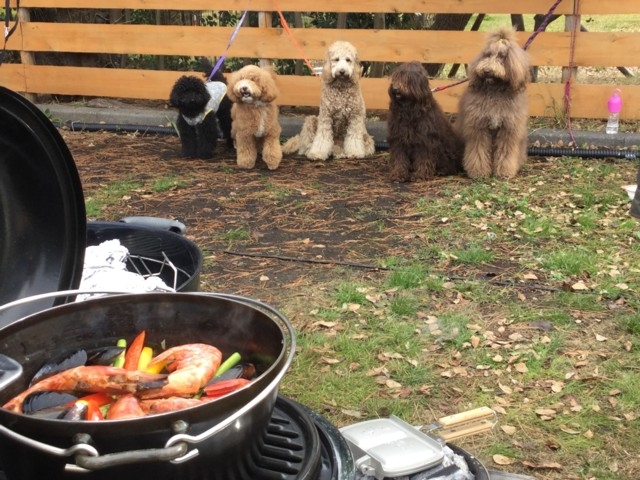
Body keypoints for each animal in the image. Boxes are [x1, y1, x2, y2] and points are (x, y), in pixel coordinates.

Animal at [458, 28, 532, 179]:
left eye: (502, 56)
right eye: (487, 55)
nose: (487, 70)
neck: (495, 91)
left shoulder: (508, 129)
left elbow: (506, 151)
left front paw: (504, 171)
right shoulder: (478, 128)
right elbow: (478, 150)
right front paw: (479, 172)